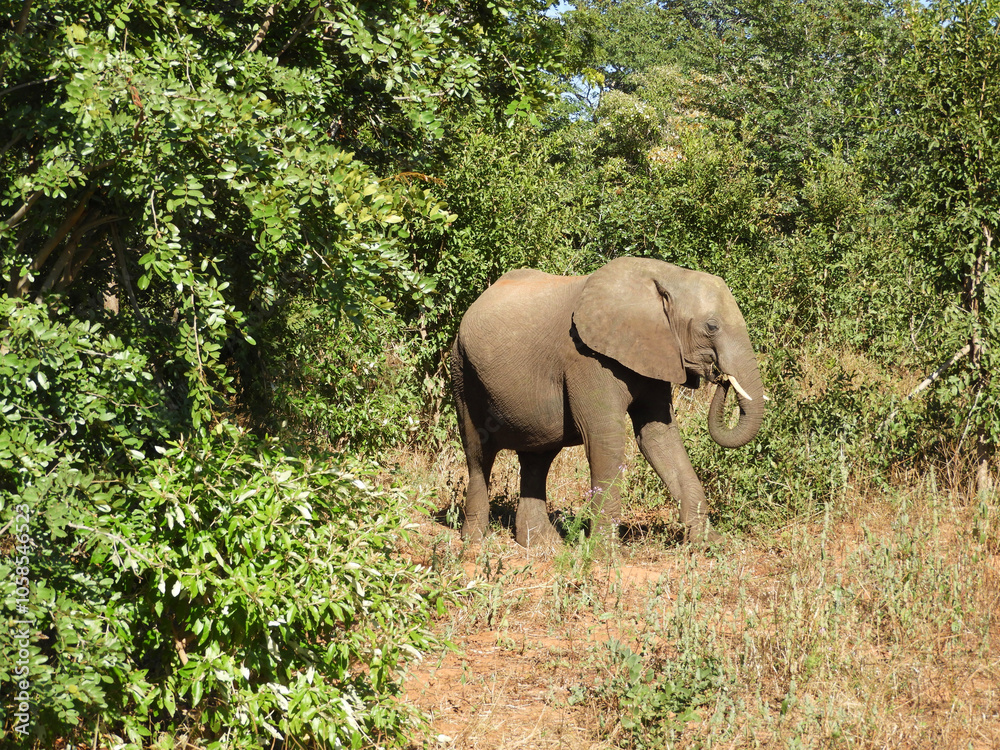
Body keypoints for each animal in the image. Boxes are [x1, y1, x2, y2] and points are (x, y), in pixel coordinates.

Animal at [450, 256, 765, 548]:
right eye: (712, 326)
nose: (721, 377)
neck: (666, 276)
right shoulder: (586, 357)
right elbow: (605, 438)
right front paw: (605, 554)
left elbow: (659, 437)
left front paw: (712, 544)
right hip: (462, 369)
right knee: (479, 453)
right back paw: (474, 541)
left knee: (538, 457)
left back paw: (542, 544)